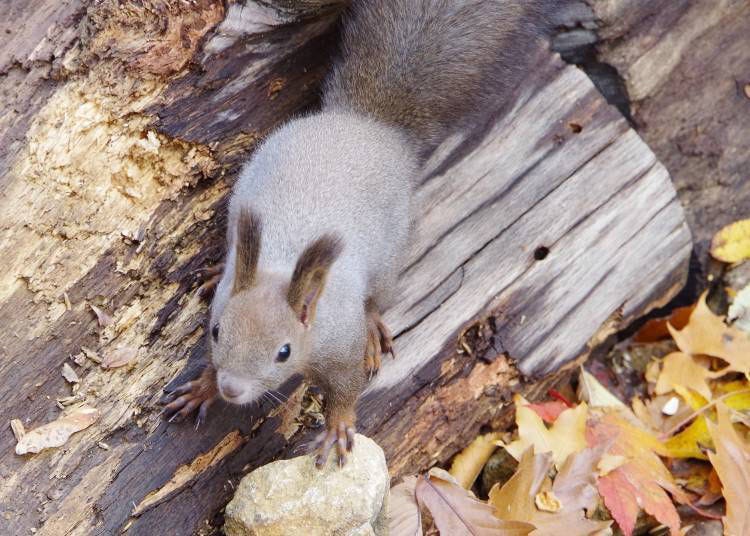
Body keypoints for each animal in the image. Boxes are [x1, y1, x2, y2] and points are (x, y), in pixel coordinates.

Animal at [163, 0, 552, 464]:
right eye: (217, 331)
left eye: (283, 352)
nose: (231, 389)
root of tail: (368, 126)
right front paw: (203, 387)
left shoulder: (339, 343)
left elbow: (347, 388)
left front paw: (337, 426)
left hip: (391, 252)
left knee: (379, 296)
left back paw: (374, 326)